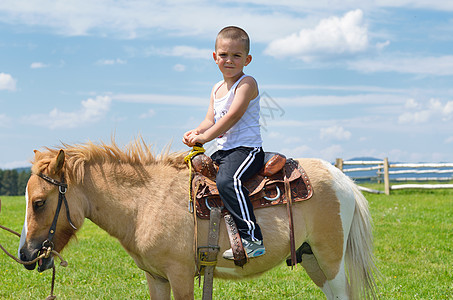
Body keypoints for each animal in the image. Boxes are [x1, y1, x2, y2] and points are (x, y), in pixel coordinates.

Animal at [17, 139, 378, 298]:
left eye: (39, 202)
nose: (25, 254)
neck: (145, 202)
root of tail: (343, 179)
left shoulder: (180, 275)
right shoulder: (156, 278)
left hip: (330, 260)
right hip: (312, 258)